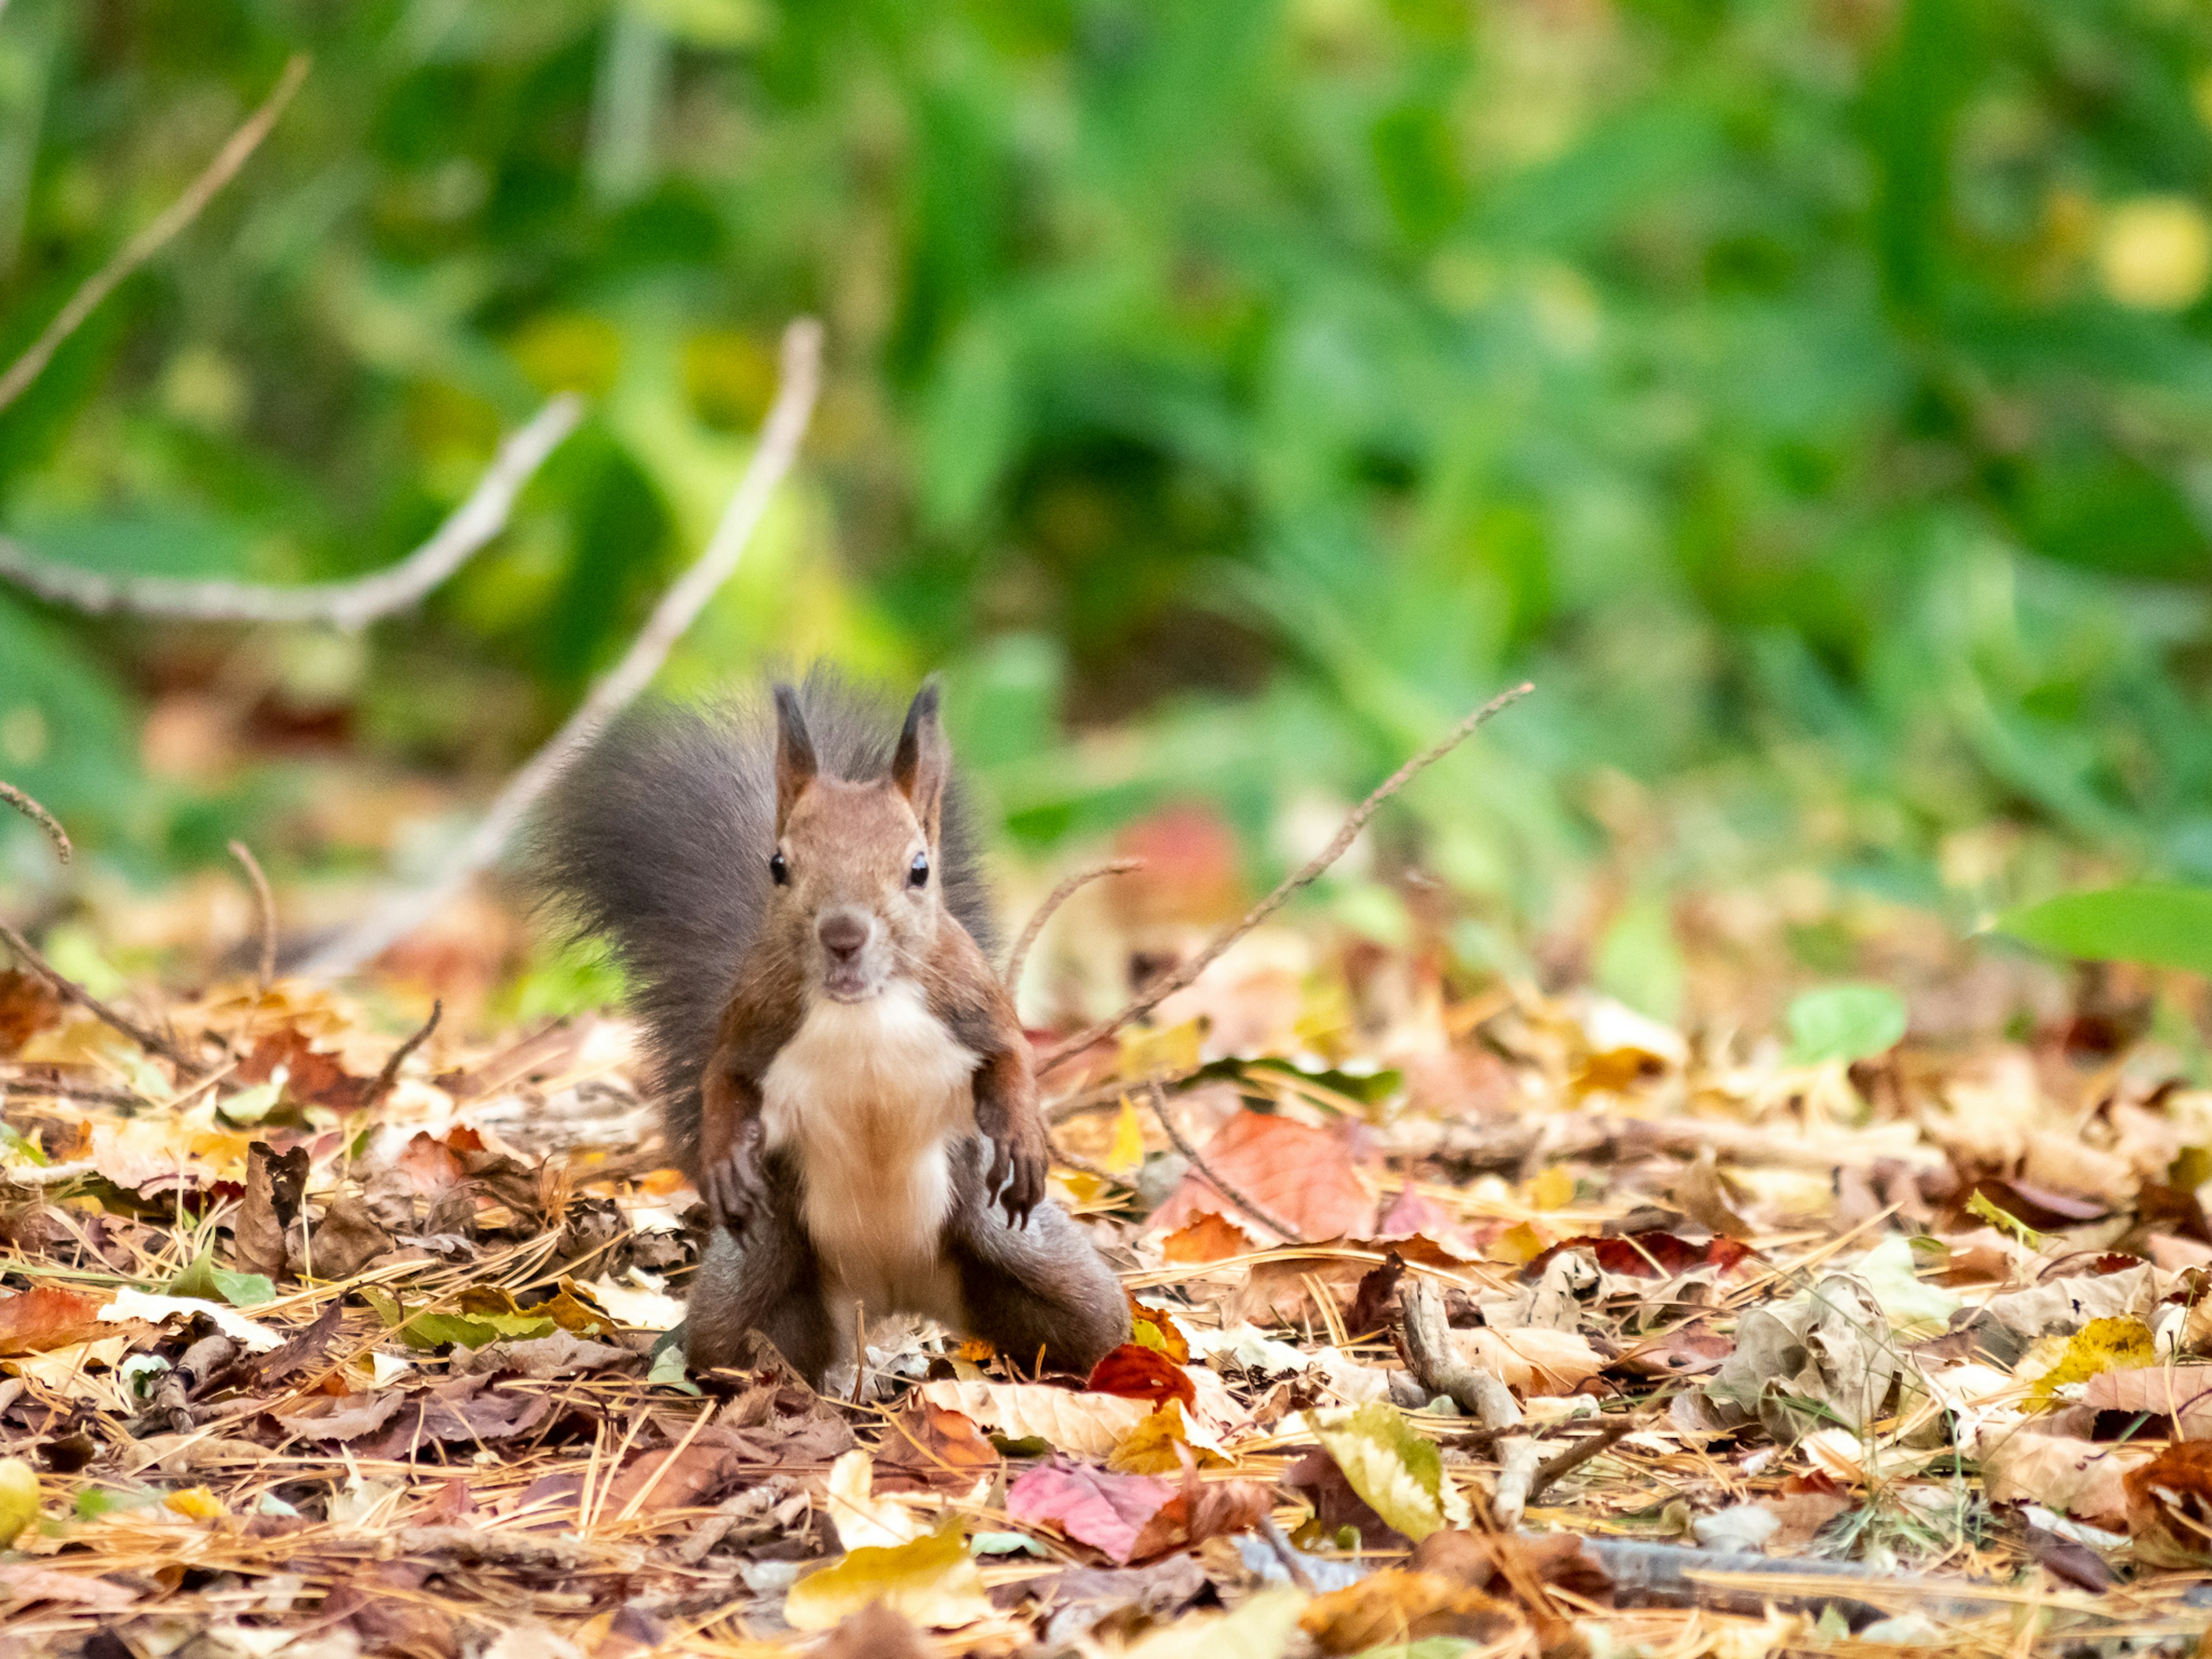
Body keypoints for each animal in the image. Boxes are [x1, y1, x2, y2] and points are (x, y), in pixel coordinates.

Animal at [526, 668, 1132, 1380]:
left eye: (920, 869)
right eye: (779, 865)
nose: (843, 935)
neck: (864, 1010)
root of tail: (891, 1294)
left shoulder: (972, 1000)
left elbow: (1012, 1058)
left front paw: (1022, 1139)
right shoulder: (755, 1015)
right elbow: (722, 1078)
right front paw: (727, 1161)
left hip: (1018, 1250)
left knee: (1091, 1319)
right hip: (762, 1266)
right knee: (729, 1343)